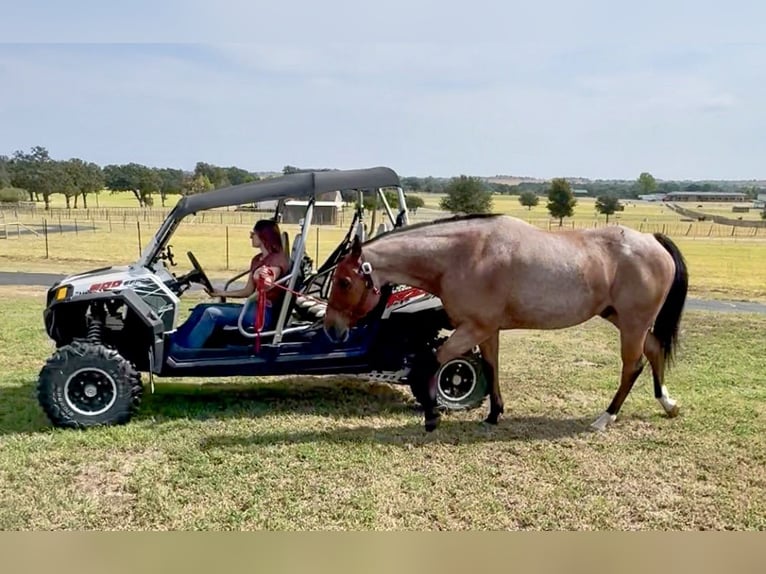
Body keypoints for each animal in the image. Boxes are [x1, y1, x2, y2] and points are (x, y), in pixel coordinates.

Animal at [322, 213, 689, 433]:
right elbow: (490, 366)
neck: (467, 254)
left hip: (632, 323)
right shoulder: (487, 330)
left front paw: (431, 415)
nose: (330, 327)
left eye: (343, 281)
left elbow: (427, 364)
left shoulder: (474, 328)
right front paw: (494, 413)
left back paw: (605, 417)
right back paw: (668, 404)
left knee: (633, 366)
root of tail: (653, 240)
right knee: (654, 350)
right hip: (623, 319)